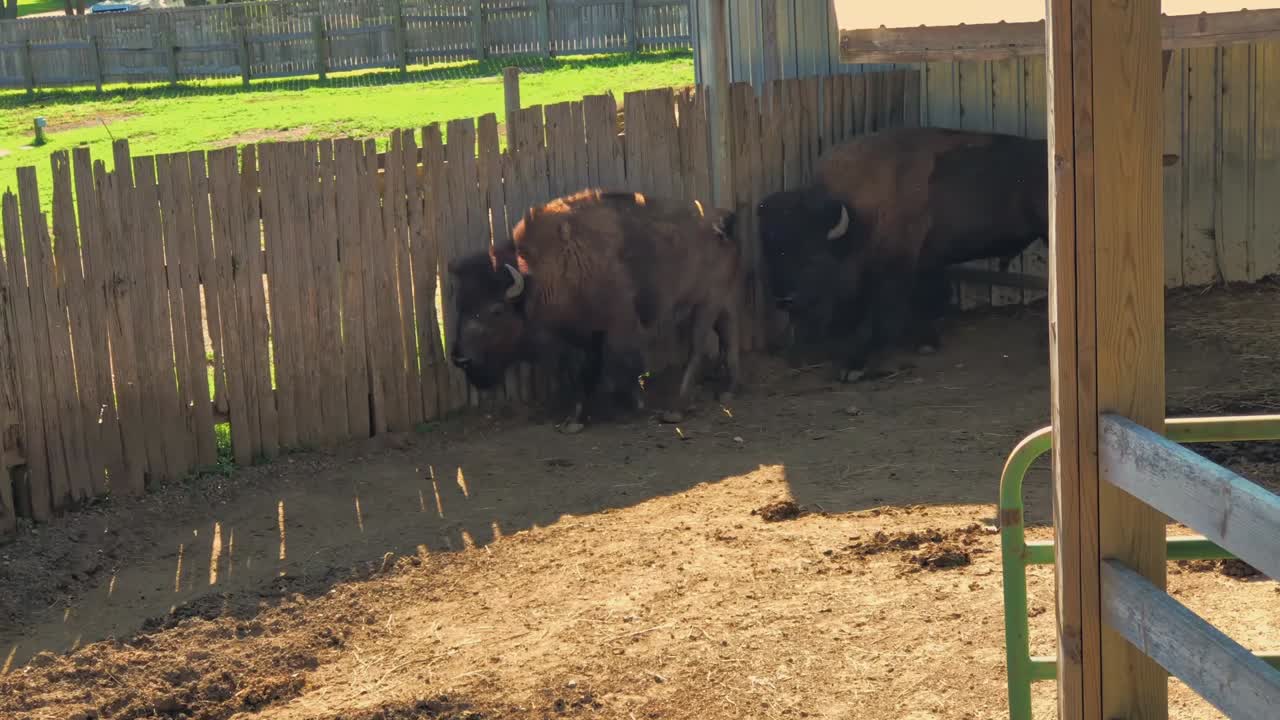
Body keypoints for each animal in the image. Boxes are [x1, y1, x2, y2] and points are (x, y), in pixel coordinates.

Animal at [447, 189, 743, 433]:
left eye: (496, 310)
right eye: (461, 306)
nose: (461, 359)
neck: (545, 274)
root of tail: (723, 219)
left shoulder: (617, 328)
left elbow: (618, 364)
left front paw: (633, 402)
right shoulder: (580, 338)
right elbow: (582, 373)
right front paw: (574, 419)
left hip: (707, 304)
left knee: (697, 348)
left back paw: (676, 409)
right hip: (722, 302)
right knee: (729, 337)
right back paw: (728, 390)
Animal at [757, 126, 1048, 381]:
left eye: (813, 257)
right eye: (769, 256)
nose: (784, 299)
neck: (857, 214)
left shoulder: (896, 267)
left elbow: (885, 313)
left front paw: (854, 366)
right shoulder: (922, 262)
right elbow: (923, 300)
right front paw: (926, 342)